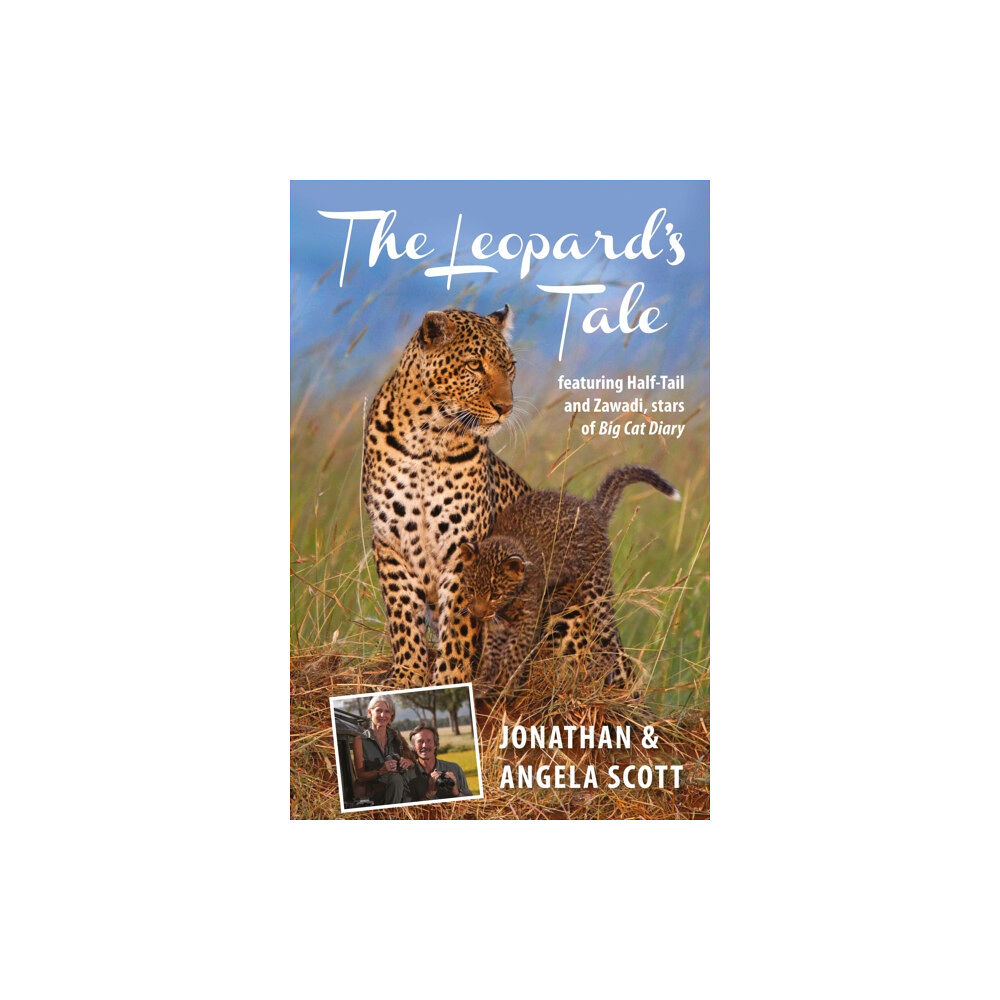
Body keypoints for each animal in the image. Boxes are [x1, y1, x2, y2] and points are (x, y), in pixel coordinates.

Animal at [362, 305, 530, 687]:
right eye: (474, 365)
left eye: (509, 367)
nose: (505, 407)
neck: (428, 435)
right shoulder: (389, 541)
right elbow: (402, 614)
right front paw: (406, 676)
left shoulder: (464, 545)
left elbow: (460, 620)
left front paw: (451, 679)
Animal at [457, 466, 680, 693]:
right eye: (471, 590)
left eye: (496, 595)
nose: (477, 614)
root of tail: (592, 507)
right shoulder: (496, 625)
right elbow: (490, 653)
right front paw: (483, 682)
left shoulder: (527, 621)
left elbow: (516, 653)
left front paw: (507, 684)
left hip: (596, 583)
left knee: (607, 631)